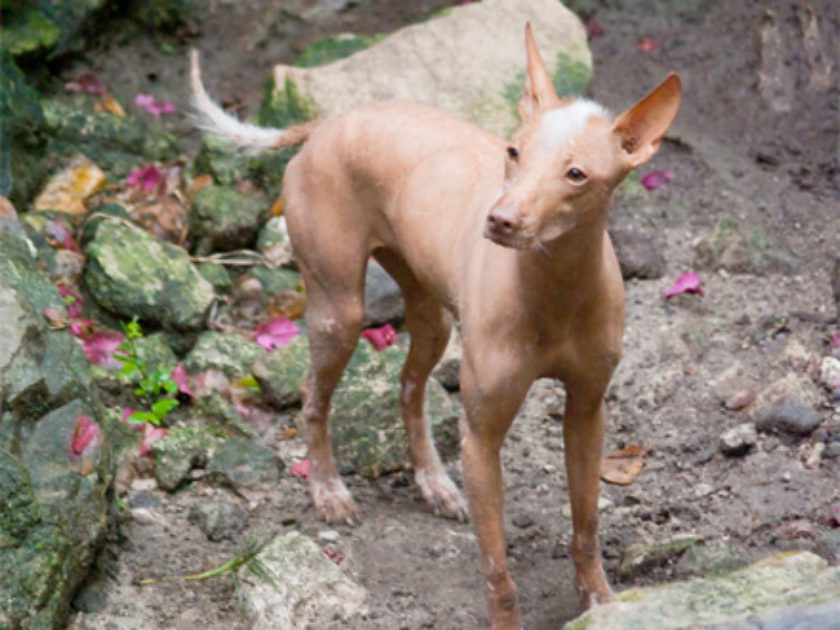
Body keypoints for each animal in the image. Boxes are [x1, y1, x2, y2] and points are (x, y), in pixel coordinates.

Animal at [189, 22, 676, 628]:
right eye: (513, 152)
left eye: (576, 175)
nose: (500, 220)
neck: (553, 288)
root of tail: (327, 124)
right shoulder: (481, 440)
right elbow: (497, 569)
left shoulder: (587, 414)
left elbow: (585, 527)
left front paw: (603, 602)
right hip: (339, 313)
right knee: (312, 399)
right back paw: (328, 491)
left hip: (433, 316)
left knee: (408, 388)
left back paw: (432, 482)